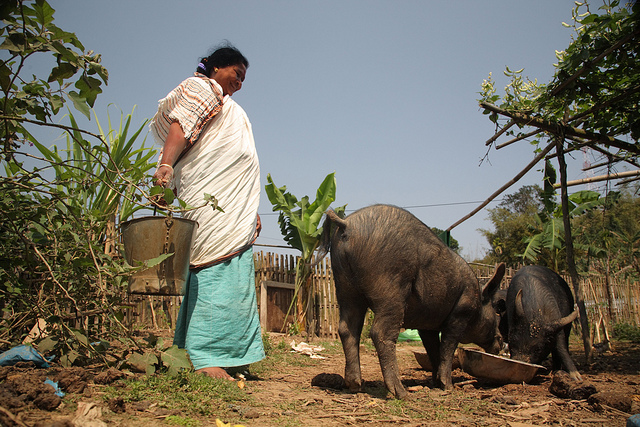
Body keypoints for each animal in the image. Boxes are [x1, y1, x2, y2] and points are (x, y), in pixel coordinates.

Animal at [319, 204, 505, 398]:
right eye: (496, 312)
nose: (502, 342)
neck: (477, 303)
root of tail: (346, 223)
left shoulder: (427, 325)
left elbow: (433, 350)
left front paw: (436, 383)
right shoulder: (460, 315)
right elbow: (447, 347)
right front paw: (448, 387)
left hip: (345, 288)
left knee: (347, 329)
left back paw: (356, 386)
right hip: (390, 290)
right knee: (380, 332)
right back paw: (402, 393)